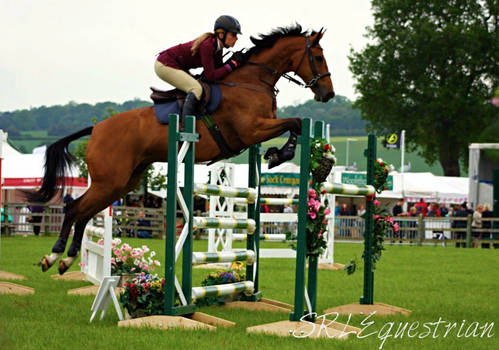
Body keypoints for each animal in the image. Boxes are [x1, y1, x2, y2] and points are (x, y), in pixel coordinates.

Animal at [27, 25, 336, 276]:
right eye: (319, 57)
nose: (328, 94)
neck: (251, 81)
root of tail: (96, 129)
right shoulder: (252, 130)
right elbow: (295, 123)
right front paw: (281, 155)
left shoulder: (257, 131)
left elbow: (295, 125)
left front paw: (290, 157)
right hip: (109, 181)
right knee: (74, 209)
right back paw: (53, 256)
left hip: (122, 183)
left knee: (84, 213)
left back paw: (66, 260)